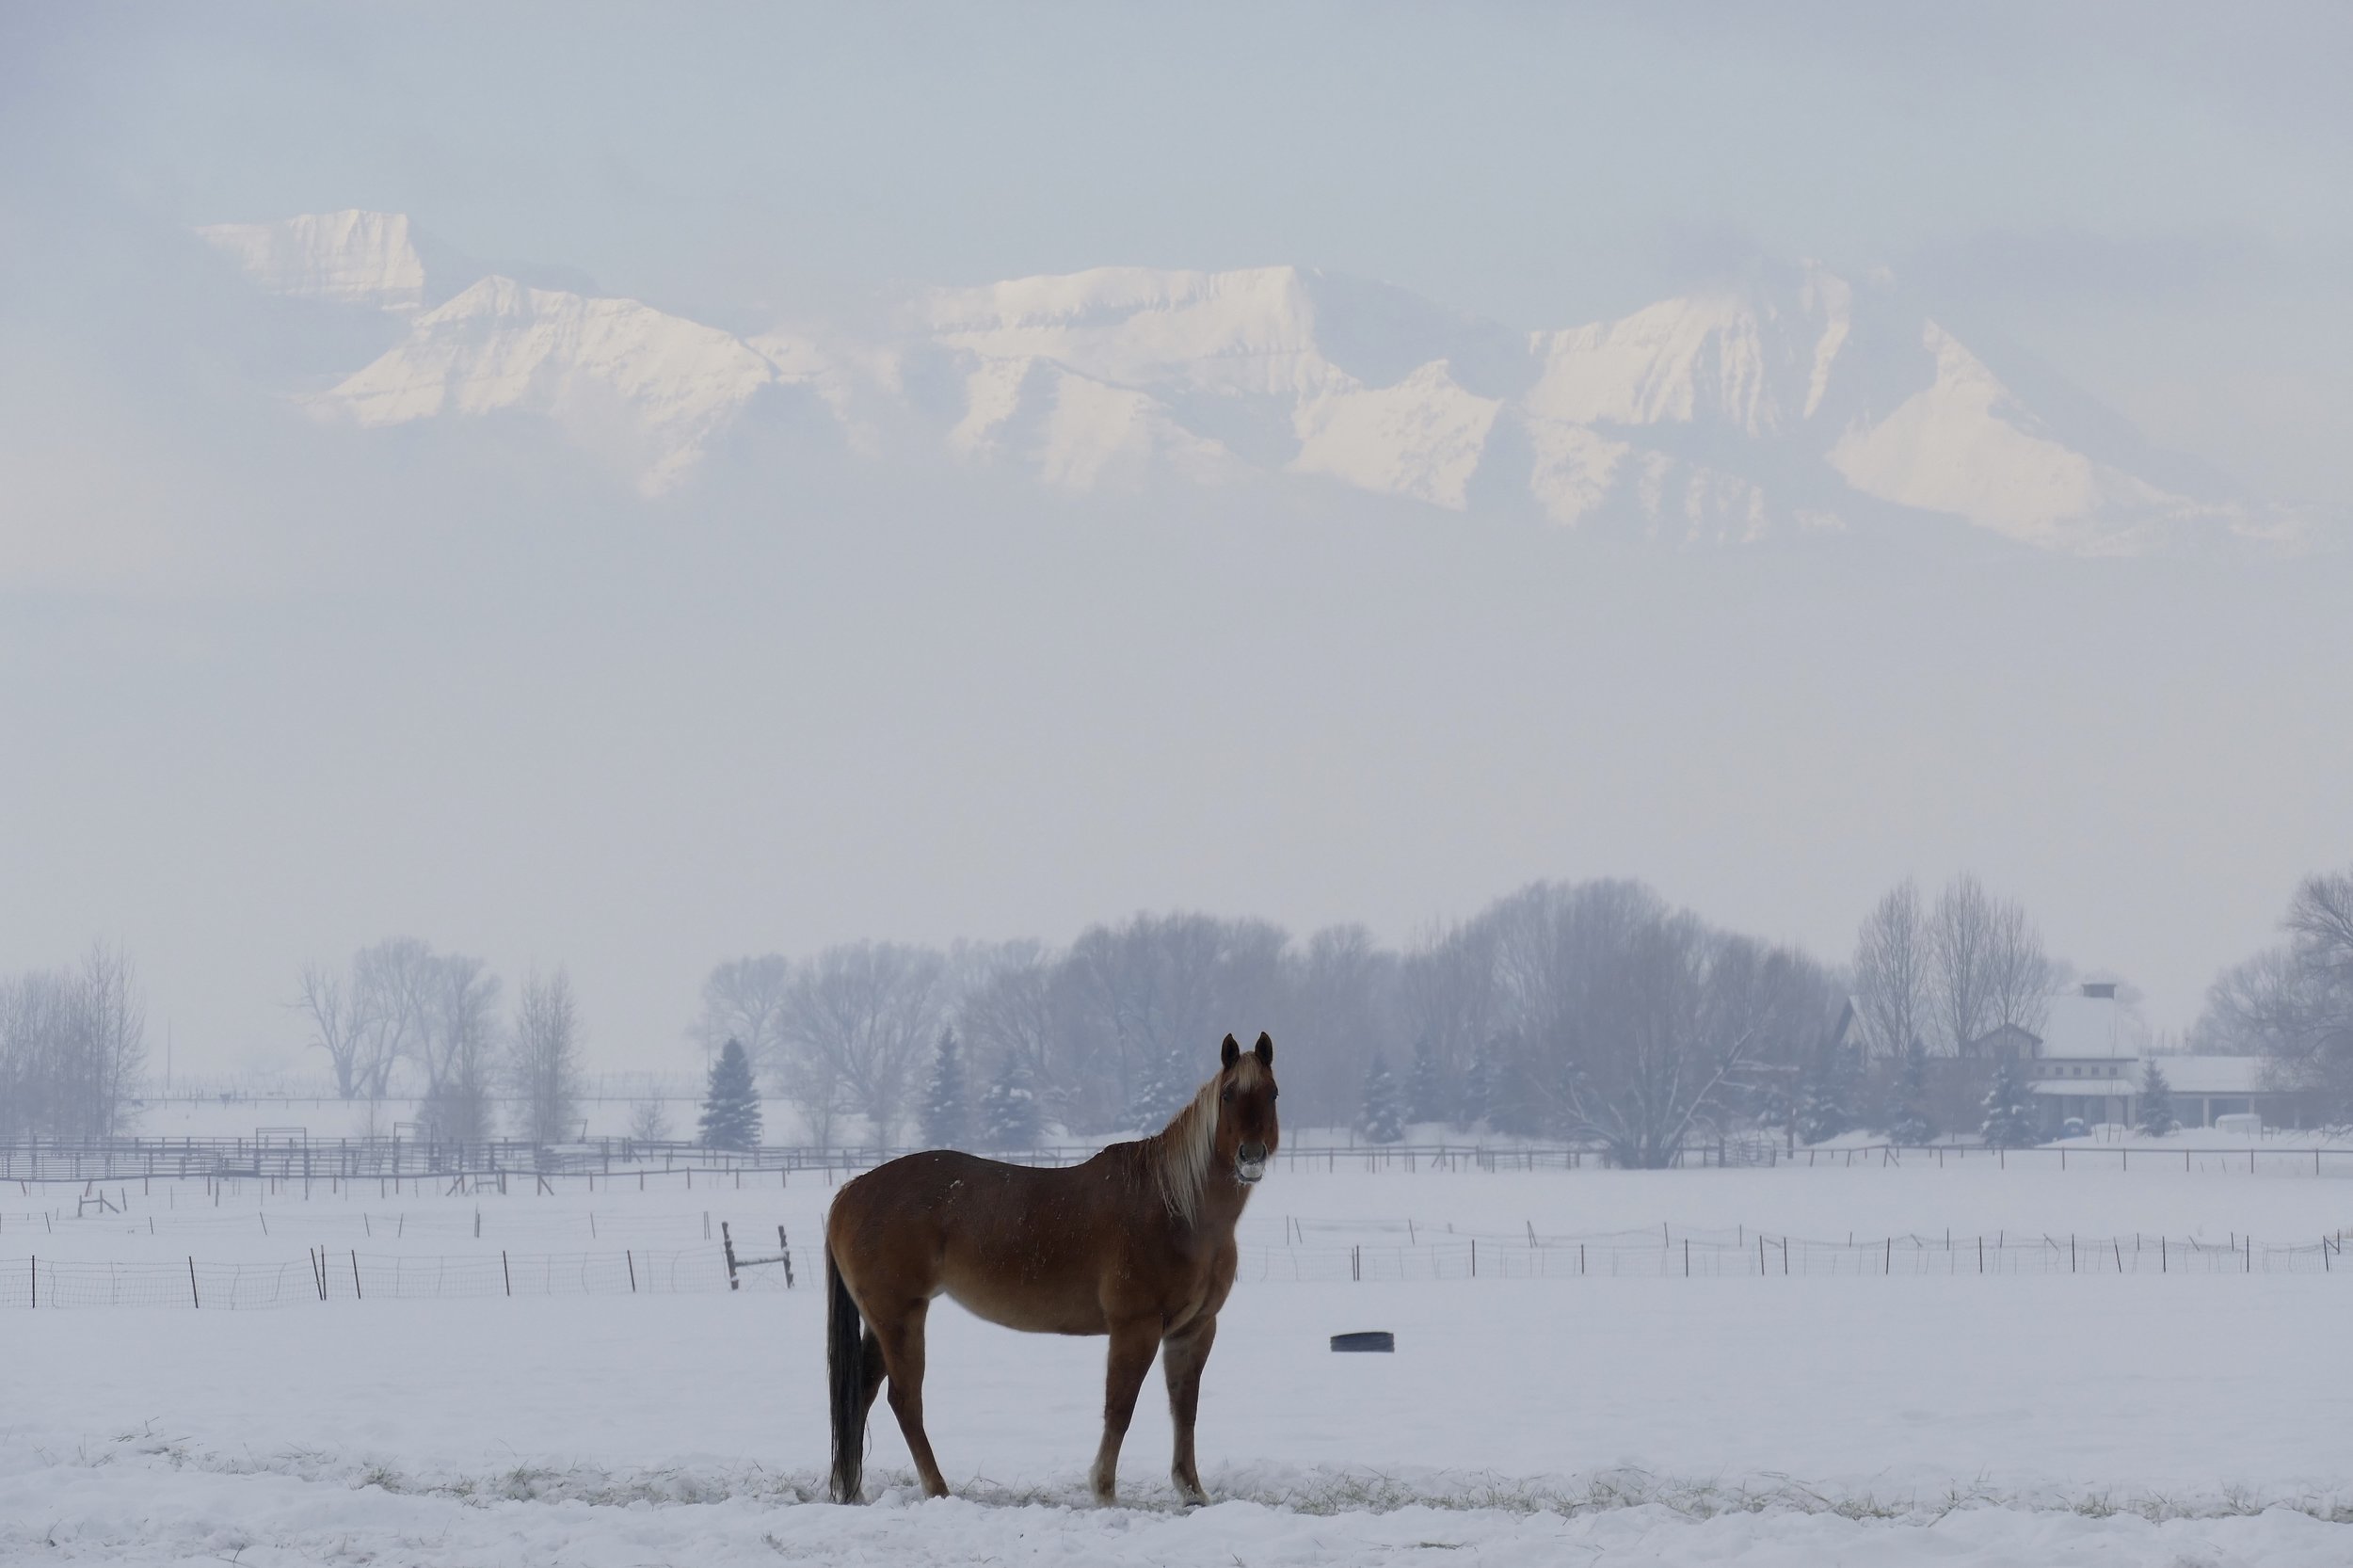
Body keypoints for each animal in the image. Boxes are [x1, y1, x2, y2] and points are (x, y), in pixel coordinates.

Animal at [824, 1026, 1280, 1506]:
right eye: (1228, 1095)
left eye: (1272, 1093)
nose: (1251, 1155)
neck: (1176, 1209)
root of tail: (851, 1191)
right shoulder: (1135, 1326)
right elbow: (1121, 1406)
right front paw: (1104, 1490)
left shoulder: (1194, 1329)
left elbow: (1184, 1408)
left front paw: (1191, 1491)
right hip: (900, 1318)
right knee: (905, 1401)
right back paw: (937, 1489)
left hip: (885, 1322)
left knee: (862, 1391)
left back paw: (854, 1491)